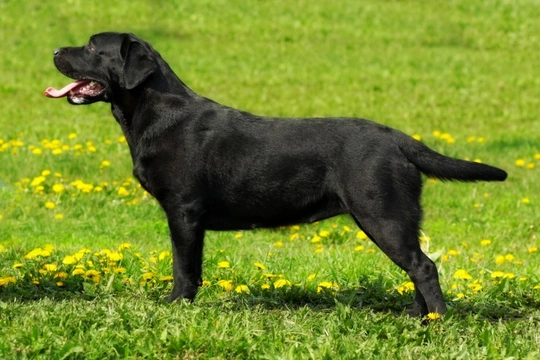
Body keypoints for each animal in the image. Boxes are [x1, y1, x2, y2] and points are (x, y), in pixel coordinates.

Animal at [45, 32, 506, 316]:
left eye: (91, 46)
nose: (53, 52)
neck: (154, 112)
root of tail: (399, 138)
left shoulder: (184, 211)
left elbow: (184, 267)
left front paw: (176, 304)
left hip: (382, 213)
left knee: (423, 267)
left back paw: (438, 322)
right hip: (392, 218)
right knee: (416, 265)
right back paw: (415, 316)